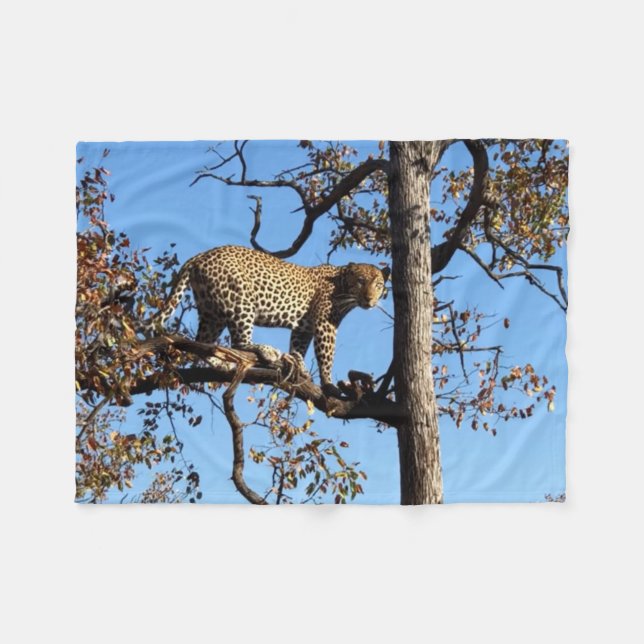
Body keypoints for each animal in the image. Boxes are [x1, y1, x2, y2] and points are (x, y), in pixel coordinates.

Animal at [146, 245, 389, 395]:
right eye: (360, 281)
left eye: (378, 285)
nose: (370, 299)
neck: (342, 287)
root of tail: (201, 255)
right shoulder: (325, 325)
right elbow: (326, 356)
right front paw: (328, 384)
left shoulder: (304, 327)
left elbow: (298, 347)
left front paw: (300, 366)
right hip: (240, 301)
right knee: (239, 342)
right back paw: (266, 350)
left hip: (212, 312)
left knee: (202, 342)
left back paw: (221, 363)